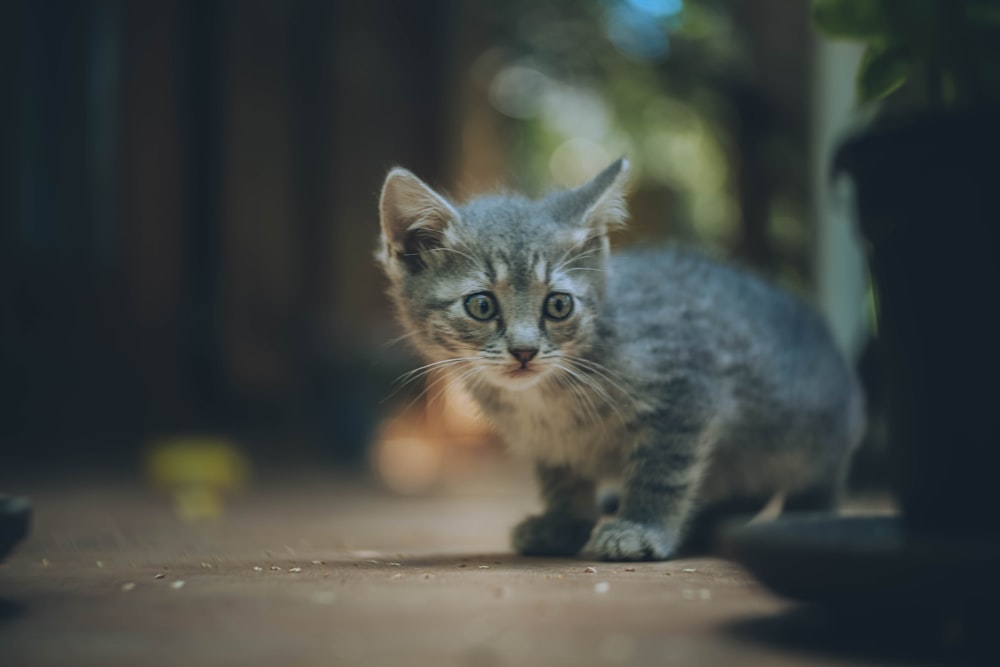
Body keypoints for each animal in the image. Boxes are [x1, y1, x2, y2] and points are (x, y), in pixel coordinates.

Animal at [378, 159, 864, 560]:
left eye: (558, 305)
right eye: (481, 305)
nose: (524, 350)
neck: (546, 396)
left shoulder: (687, 389)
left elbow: (664, 469)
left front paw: (641, 527)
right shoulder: (550, 441)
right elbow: (561, 477)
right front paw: (563, 524)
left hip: (815, 434)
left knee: (816, 481)